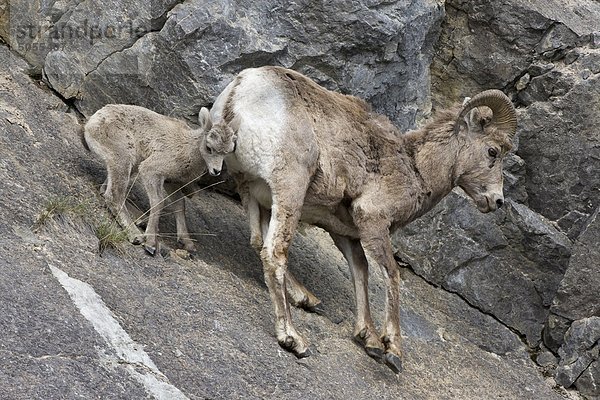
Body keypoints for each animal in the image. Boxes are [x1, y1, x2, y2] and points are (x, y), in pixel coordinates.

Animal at [84, 104, 234, 255]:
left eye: (227, 152)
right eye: (209, 148)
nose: (216, 171)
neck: (187, 148)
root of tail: (92, 121)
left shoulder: (171, 182)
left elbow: (180, 205)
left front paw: (187, 243)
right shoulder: (151, 171)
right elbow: (158, 202)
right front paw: (150, 244)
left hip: (131, 166)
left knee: (105, 190)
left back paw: (140, 220)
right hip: (124, 158)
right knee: (113, 195)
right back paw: (136, 235)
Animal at [211, 65, 516, 372]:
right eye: (492, 151)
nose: (497, 201)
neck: (416, 170)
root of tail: (241, 90)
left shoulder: (345, 232)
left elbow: (361, 271)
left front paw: (368, 338)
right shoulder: (373, 220)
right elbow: (391, 274)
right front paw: (392, 350)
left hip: (255, 193)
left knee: (258, 242)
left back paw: (306, 299)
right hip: (290, 190)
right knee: (275, 252)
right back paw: (293, 339)